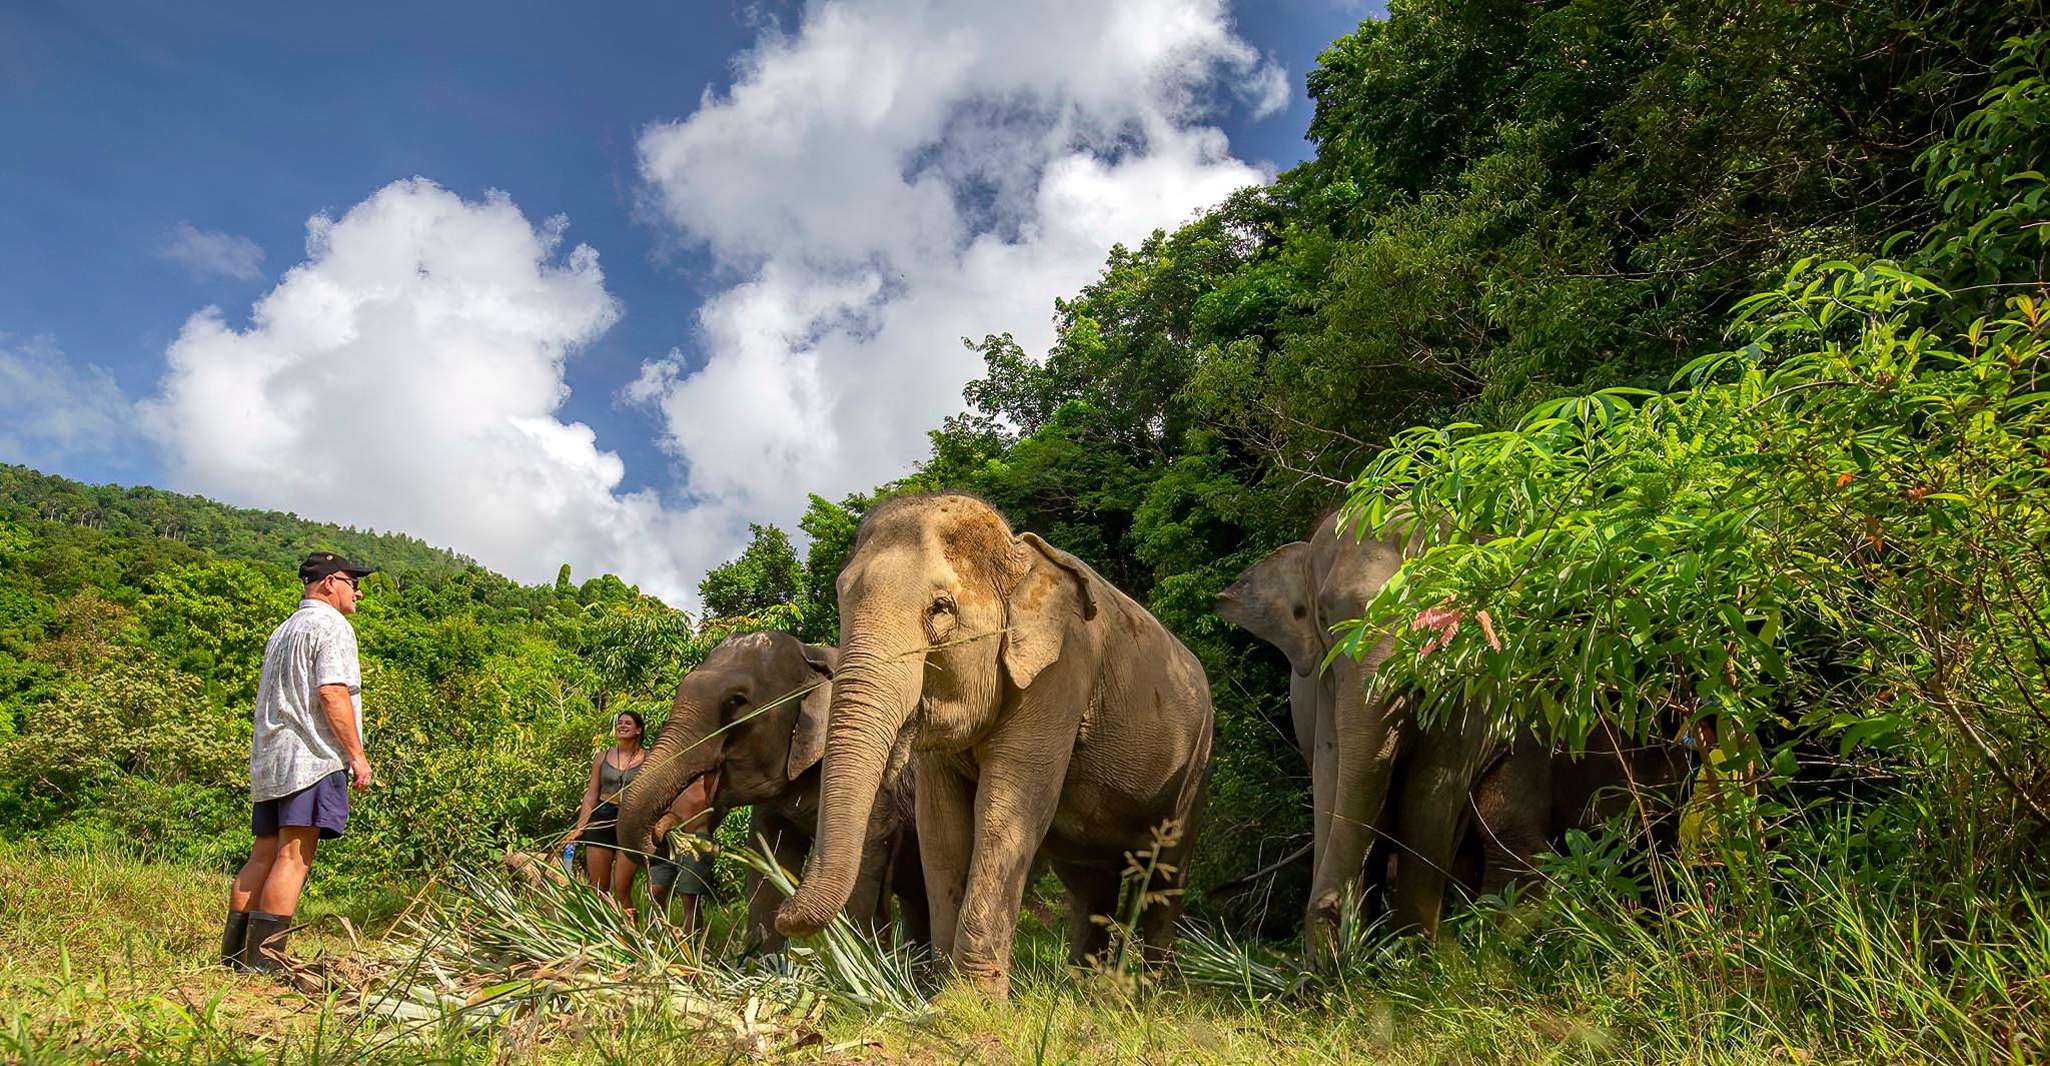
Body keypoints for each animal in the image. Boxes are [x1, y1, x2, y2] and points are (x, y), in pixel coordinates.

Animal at [616, 631, 926, 955]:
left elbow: (866, 858)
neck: (814, 653)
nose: (661, 837)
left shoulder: (877, 781)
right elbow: (769, 853)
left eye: (736, 701)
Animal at [774, 492, 1215, 995]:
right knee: (1090, 887)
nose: (782, 915)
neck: (1018, 556)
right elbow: (941, 828)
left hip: (1196, 765)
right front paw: (938, 990)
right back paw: (1085, 990)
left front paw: (970, 999)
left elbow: (1005, 810)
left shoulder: (1060, 675)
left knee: (1166, 874)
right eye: (841, 598)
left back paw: (1149, 994)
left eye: (941, 608)